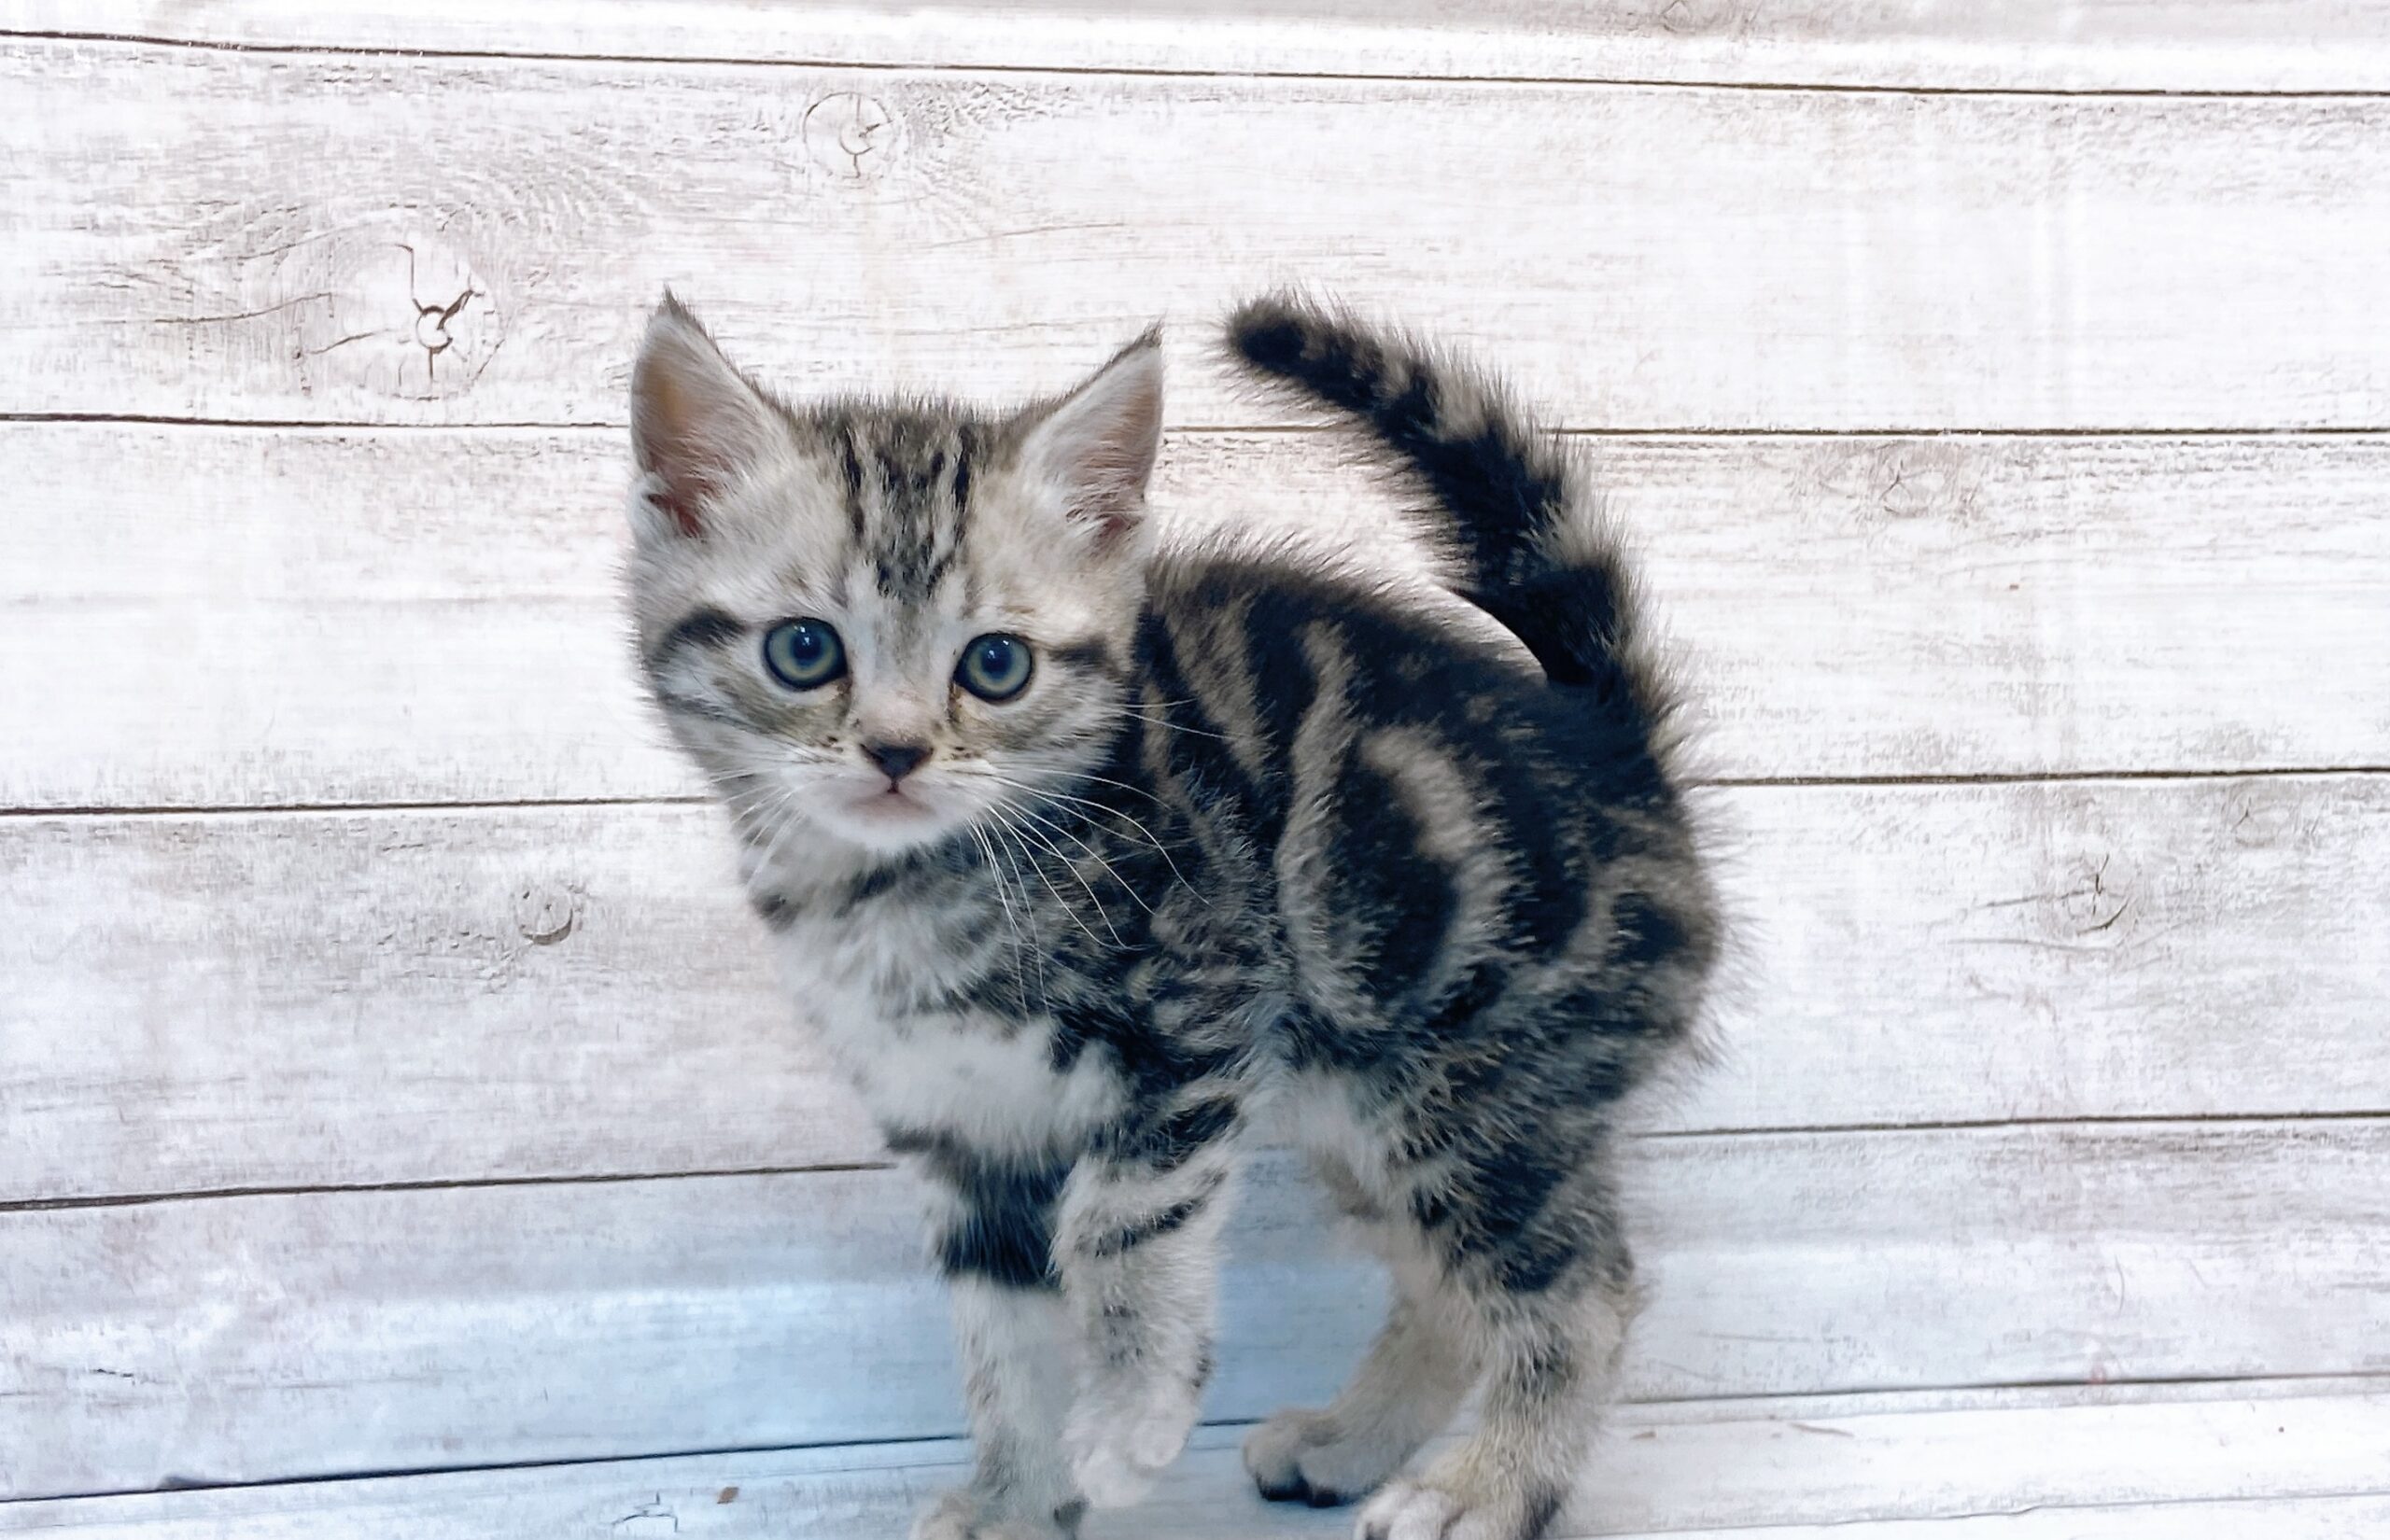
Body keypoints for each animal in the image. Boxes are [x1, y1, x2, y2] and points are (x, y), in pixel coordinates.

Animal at [626, 291, 1730, 1537]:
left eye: (994, 666)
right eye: (804, 649)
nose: (897, 752)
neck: (906, 888)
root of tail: (1616, 745)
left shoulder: (1194, 1023)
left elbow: (1118, 1225)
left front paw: (1126, 1425)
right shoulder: (959, 1126)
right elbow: (998, 1332)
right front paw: (1014, 1495)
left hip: (1480, 1090)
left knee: (1583, 1290)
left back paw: (1480, 1493)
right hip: (1371, 1102)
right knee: (1447, 1288)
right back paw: (1348, 1446)